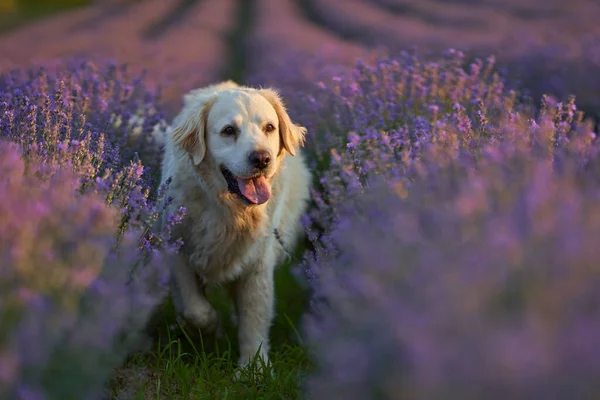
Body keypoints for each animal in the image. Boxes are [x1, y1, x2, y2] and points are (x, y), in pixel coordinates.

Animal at [157, 79, 312, 370]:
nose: (261, 158)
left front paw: (253, 367)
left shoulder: (258, 262)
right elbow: (195, 309)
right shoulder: (176, 246)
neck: (230, 211)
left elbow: (254, 318)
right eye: (229, 130)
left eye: (269, 127)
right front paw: (208, 327)